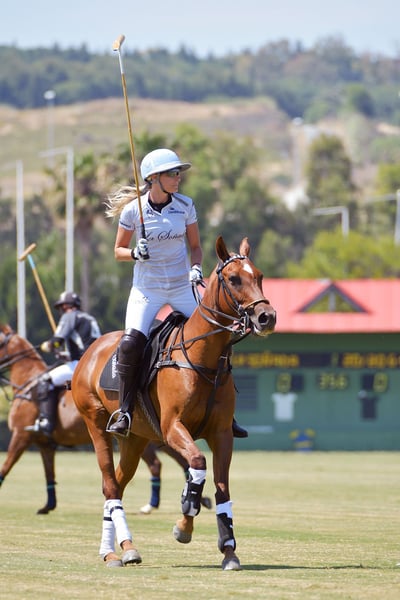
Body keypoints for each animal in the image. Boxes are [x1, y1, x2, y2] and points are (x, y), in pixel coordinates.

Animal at [0, 324, 212, 515]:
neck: (27, 384)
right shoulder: (45, 444)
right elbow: (49, 473)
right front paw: (48, 506)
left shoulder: (21, 436)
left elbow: (6, 466)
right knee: (175, 461)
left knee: (161, 464)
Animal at [71, 236, 276, 570]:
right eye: (234, 278)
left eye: (258, 275)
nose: (266, 317)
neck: (205, 360)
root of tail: (91, 350)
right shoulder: (172, 428)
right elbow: (197, 466)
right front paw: (185, 521)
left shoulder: (222, 433)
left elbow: (221, 488)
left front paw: (228, 549)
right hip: (96, 423)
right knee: (110, 484)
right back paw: (118, 551)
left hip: (136, 439)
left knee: (116, 482)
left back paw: (116, 548)